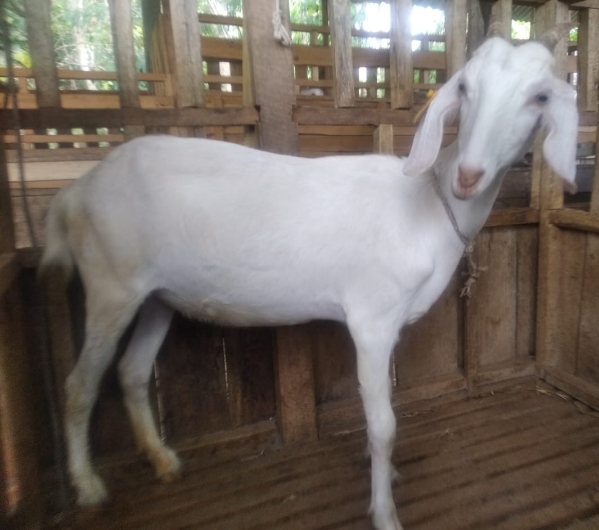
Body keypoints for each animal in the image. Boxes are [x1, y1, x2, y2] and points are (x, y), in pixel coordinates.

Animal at [40, 28, 577, 530]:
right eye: (465, 86)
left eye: (541, 96)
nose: (468, 176)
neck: (425, 206)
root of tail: (77, 190)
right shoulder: (371, 319)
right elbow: (384, 423)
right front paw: (384, 511)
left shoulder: (391, 324)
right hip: (111, 284)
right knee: (78, 384)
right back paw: (88, 486)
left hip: (157, 295)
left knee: (132, 371)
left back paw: (162, 460)